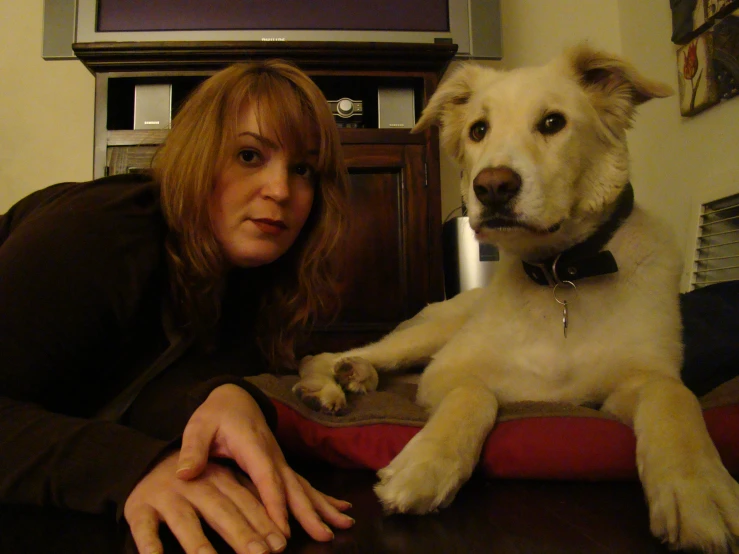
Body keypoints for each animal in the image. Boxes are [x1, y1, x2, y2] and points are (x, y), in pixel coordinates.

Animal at [294, 45, 739, 548]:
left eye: (552, 122)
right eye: (478, 130)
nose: (492, 187)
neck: (559, 275)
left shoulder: (629, 386)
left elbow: (674, 397)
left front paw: (699, 490)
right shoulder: (447, 372)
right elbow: (474, 393)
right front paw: (424, 467)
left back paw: (357, 377)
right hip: (427, 335)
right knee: (325, 354)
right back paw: (327, 387)